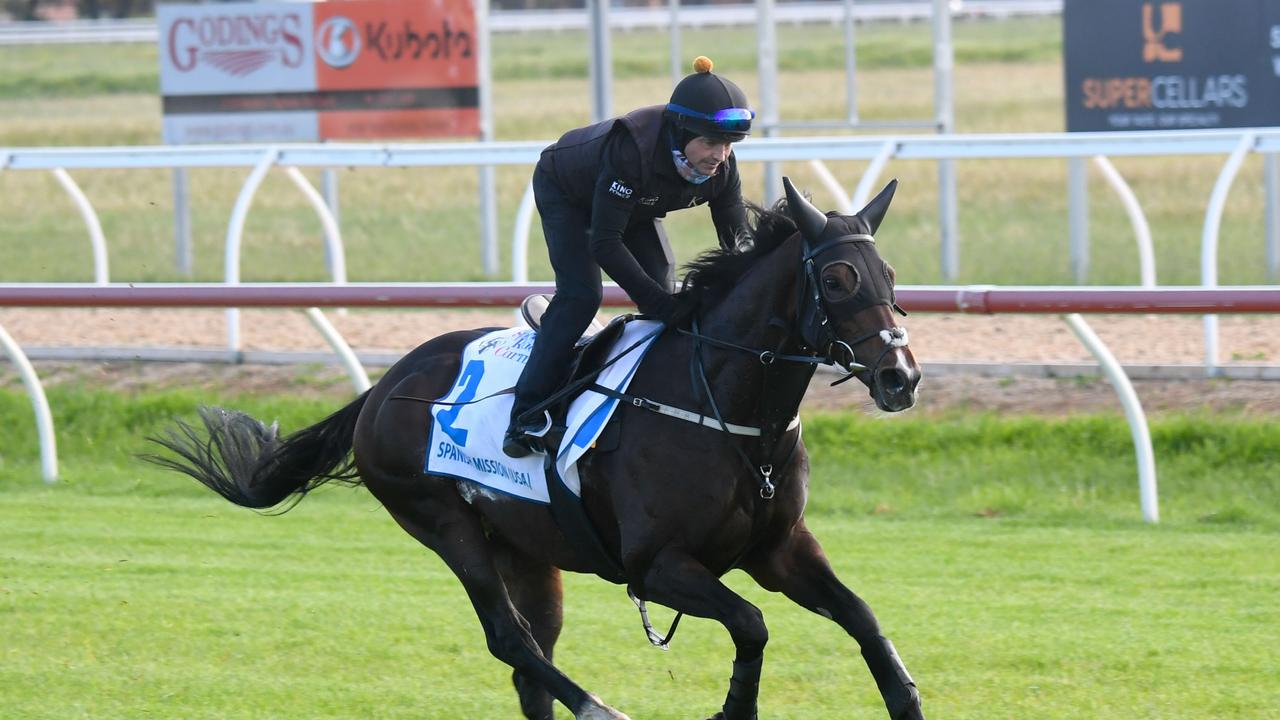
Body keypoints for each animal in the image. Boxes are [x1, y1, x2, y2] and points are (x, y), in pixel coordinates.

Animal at [149, 178, 926, 717]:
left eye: (891, 278)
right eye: (836, 279)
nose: (902, 376)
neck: (729, 412)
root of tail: (380, 388)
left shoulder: (778, 549)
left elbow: (861, 617)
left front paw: (906, 696)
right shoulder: (656, 566)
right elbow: (752, 625)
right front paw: (734, 709)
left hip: (524, 547)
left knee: (532, 664)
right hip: (443, 522)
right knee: (511, 640)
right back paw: (599, 706)